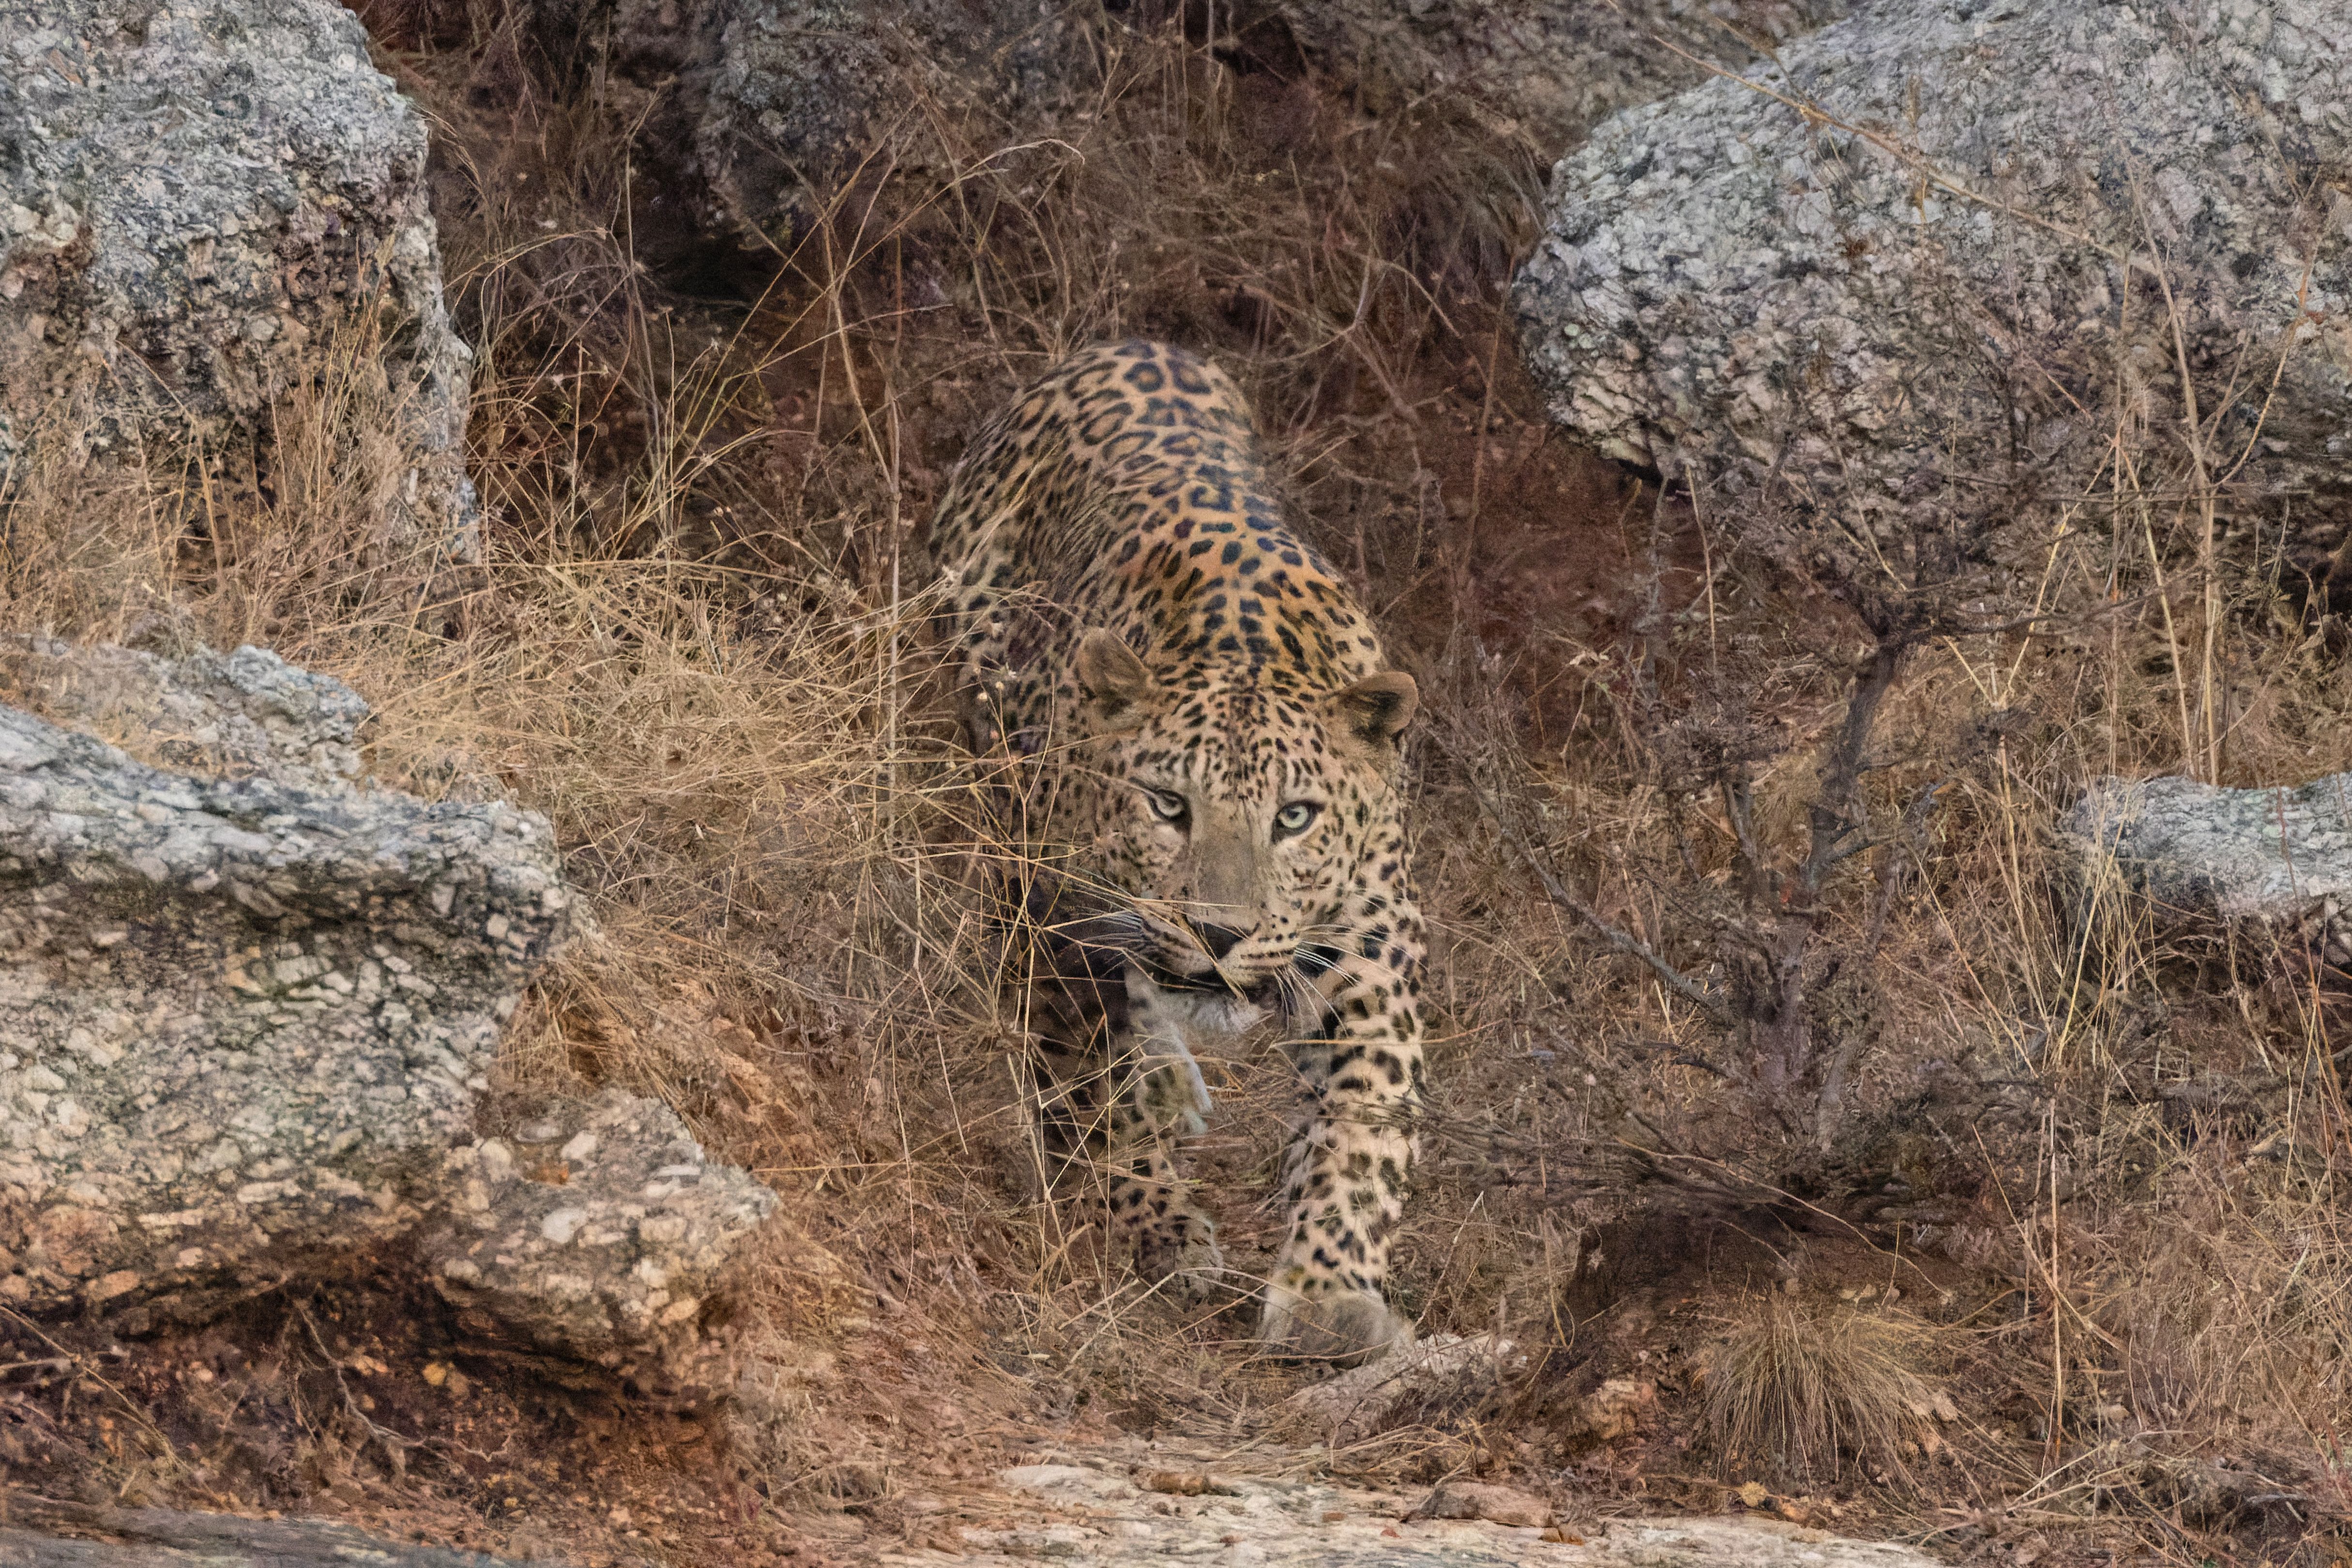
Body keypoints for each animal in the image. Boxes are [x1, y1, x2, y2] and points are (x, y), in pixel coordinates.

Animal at [923, 338, 1427, 1366]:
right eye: (1167, 803)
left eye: (1294, 816)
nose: (1218, 934)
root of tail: (1123, 344)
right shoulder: (1054, 914)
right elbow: (1094, 1079)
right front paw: (1159, 1229)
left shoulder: (1371, 947)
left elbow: (1363, 1122)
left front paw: (1328, 1296)